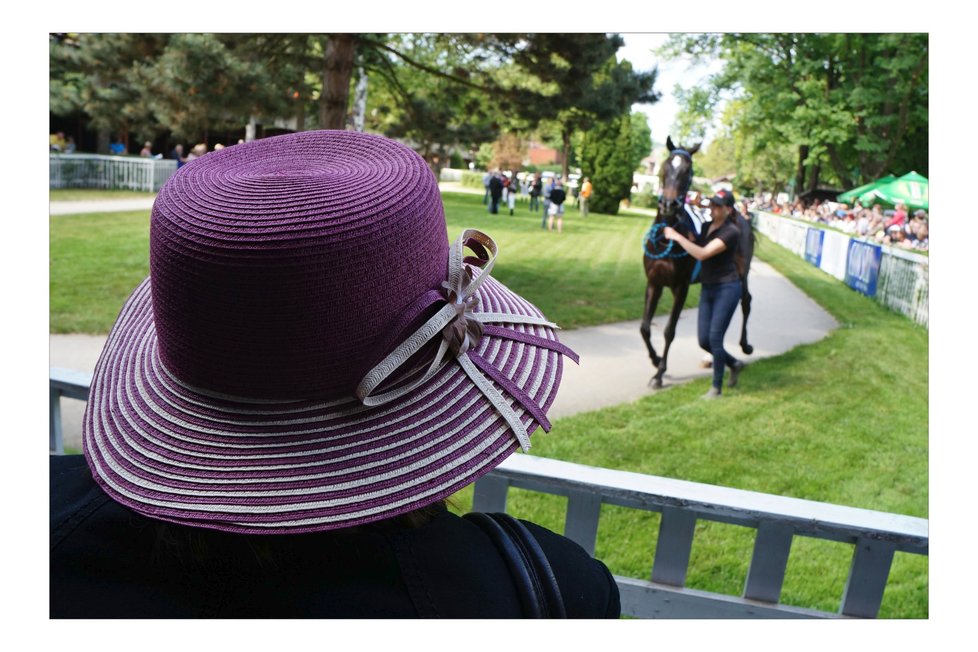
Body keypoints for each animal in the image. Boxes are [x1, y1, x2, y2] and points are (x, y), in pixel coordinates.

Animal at [640, 137, 756, 388]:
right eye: (665, 166)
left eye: (688, 171)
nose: (668, 205)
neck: (666, 237)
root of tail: (740, 216)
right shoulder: (654, 283)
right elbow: (644, 327)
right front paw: (655, 360)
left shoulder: (681, 287)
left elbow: (669, 331)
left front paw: (659, 374)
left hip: (742, 272)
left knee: (745, 301)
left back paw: (745, 345)